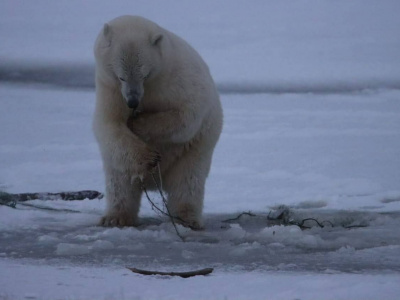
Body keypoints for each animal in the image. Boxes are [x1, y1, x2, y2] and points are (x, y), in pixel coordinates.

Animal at [93, 15, 223, 229]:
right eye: (121, 77)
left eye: (144, 74)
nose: (132, 102)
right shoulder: (110, 90)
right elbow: (110, 126)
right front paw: (150, 158)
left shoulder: (177, 79)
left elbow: (187, 115)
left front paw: (138, 123)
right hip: (119, 165)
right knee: (120, 183)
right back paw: (115, 218)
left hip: (194, 151)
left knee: (187, 182)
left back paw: (187, 218)